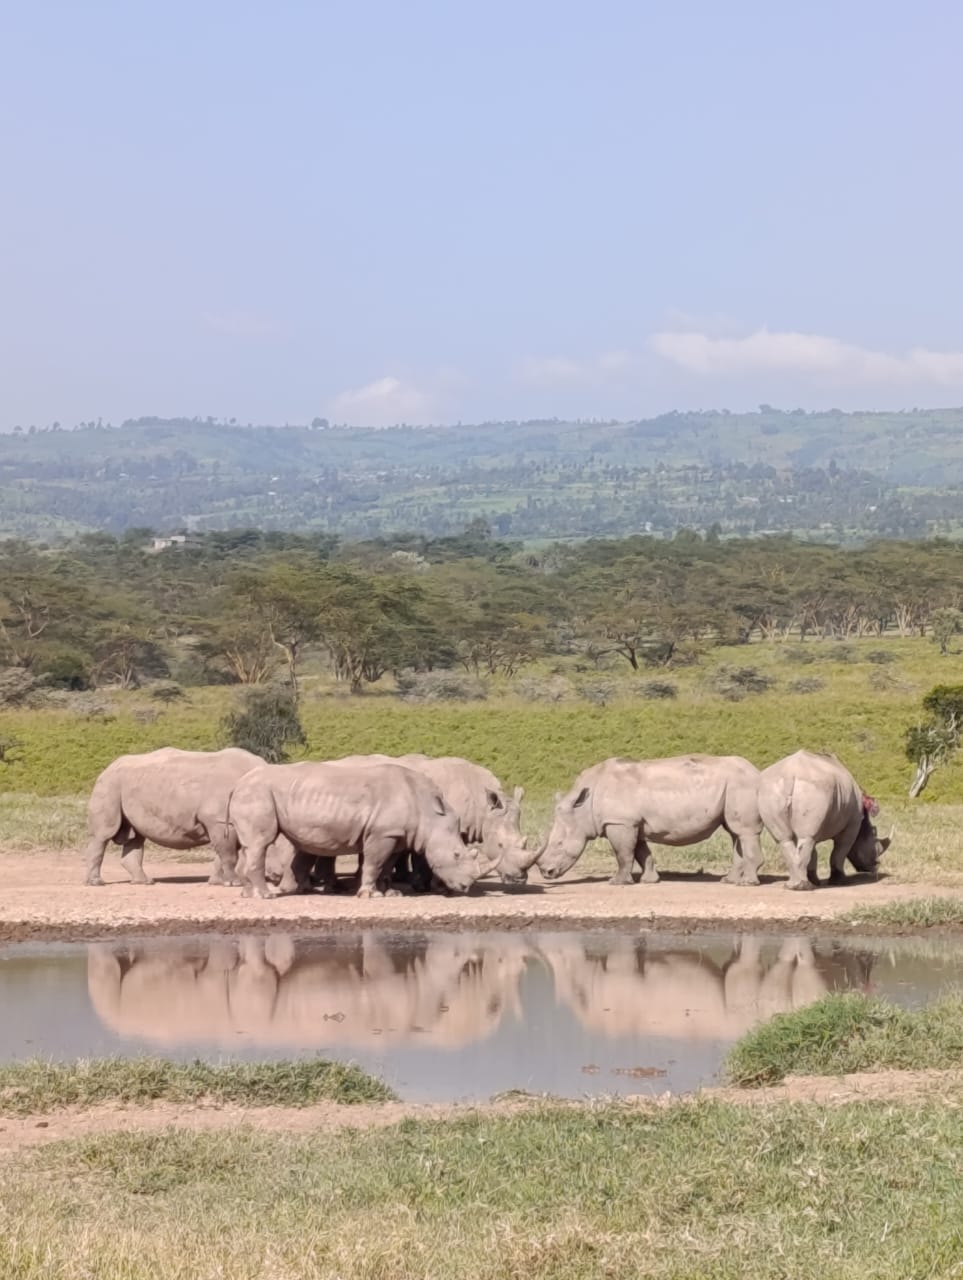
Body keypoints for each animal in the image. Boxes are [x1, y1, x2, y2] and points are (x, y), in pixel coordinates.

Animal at [83, 746, 289, 887]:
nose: (278, 876)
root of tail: (107, 767)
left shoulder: (225, 822)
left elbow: (222, 854)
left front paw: (216, 881)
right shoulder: (219, 820)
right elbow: (229, 854)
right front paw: (234, 883)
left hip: (129, 785)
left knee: (137, 836)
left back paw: (144, 882)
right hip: (109, 784)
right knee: (105, 834)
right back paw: (96, 883)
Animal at [228, 759, 486, 899]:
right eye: (456, 855)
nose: (465, 887)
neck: (429, 813)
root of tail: (238, 784)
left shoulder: (396, 835)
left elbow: (386, 865)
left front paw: (389, 893)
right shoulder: (382, 833)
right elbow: (374, 863)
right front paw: (369, 895)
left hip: (257, 794)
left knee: (250, 846)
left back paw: (248, 893)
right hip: (258, 794)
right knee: (261, 844)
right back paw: (266, 896)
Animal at [537, 754, 765, 886]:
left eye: (559, 844)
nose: (546, 873)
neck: (584, 807)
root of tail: (757, 771)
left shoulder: (619, 822)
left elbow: (623, 854)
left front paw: (616, 882)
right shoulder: (632, 823)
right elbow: (640, 852)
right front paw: (650, 880)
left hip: (741, 785)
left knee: (743, 831)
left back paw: (747, 883)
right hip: (733, 786)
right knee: (734, 832)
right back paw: (728, 880)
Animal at [757, 749, 893, 890]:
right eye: (874, 845)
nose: (876, 866)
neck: (864, 821)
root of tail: (790, 774)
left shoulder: (819, 823)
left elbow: (814, 852)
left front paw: (815, 880)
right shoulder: (852, 823)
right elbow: (840, 851)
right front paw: (840, 881)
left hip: (769, 791)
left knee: (785, 839)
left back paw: (792, 886)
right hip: (815, 789)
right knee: (806, 839)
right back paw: (803, 887)